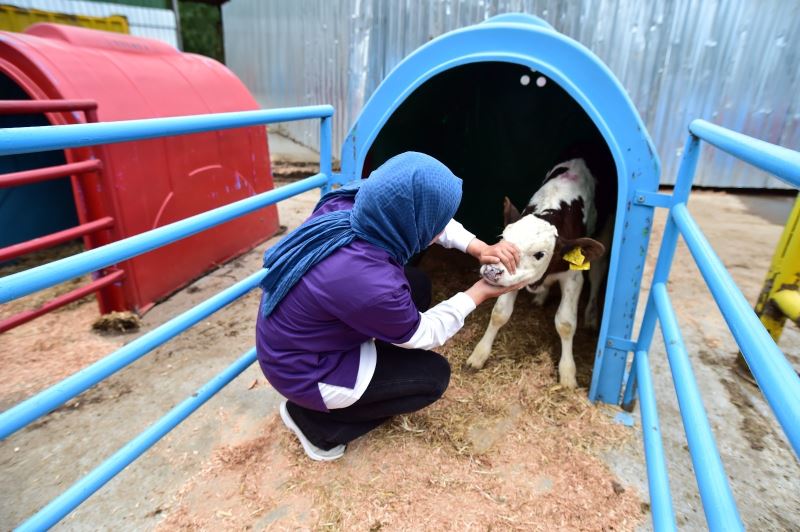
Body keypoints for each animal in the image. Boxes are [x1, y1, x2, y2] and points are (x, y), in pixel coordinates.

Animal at [466, 158, 608, 386]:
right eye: (503, 239)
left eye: (540, 253)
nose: (492, 270)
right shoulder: (513, 278)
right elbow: (499, 313)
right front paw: (479, 355)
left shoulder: (573, 277)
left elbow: (565, 323)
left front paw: (568, 374)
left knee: (597, 271)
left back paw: (591, 316)